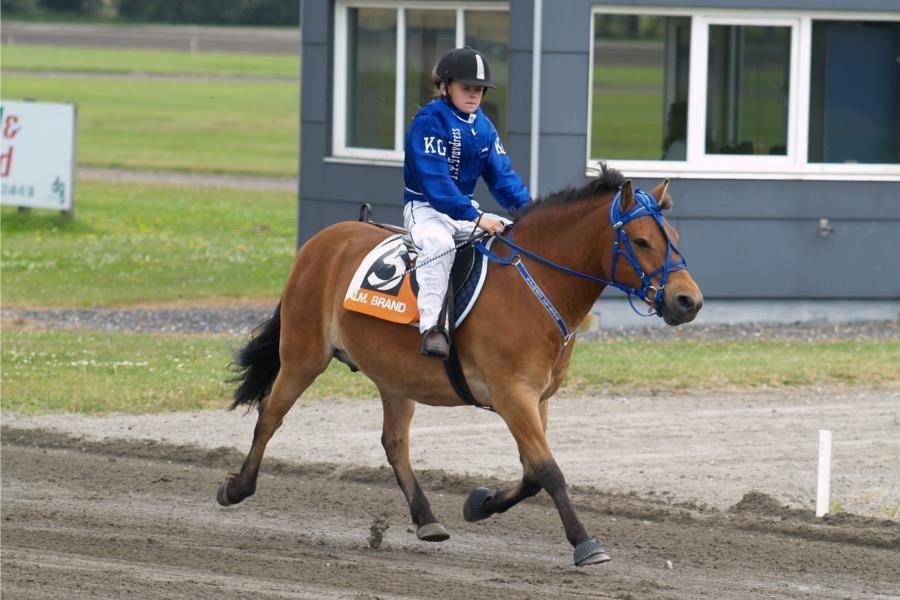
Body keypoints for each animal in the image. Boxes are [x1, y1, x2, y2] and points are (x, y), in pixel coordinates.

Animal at [218, 165, 704, 568]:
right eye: (641, 241)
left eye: (675, 237)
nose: (688, 300)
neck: (533, 287)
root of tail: (324, 239)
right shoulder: (513, 395)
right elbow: (548, 469)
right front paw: (585, 542)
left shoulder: (537, 398)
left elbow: (532, 473)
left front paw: (480, 503)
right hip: (303, 354)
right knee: (270, 414)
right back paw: (236, 487)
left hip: (395, 377)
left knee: (395, 443)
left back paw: (426, 518)